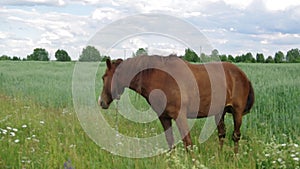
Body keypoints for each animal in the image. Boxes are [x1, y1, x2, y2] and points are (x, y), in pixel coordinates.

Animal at [98, 55, 253, 153]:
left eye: (104, 77)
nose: (101, 102)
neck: (161, 79)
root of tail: (242, 75)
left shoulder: (180, 116)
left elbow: (188, 143)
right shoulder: (164, 117)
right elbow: (170, 141)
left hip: (237, 113)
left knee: (236, 136)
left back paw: (234, 159)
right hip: (219, 112)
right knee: (222, 133)